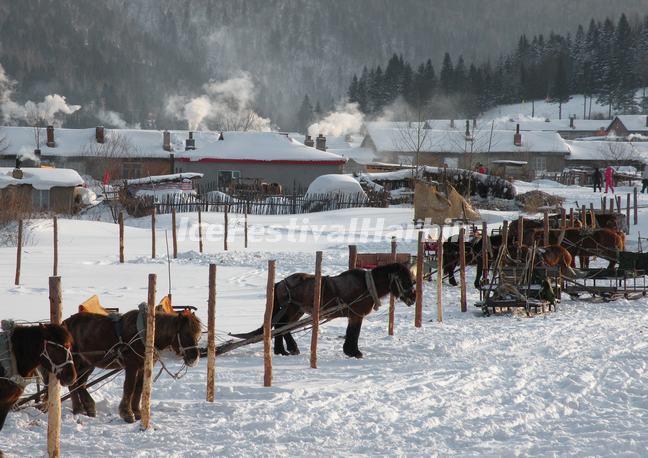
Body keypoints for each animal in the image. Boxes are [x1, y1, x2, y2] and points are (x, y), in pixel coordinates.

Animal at [63, 308, 201, 422]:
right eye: (186, 334)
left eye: (198, 335)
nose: (194, 358)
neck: (145, 334)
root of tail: (65, 322)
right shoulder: (132, 366)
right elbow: (129, 387)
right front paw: (127, 414)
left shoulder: (143, 367)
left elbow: (139, 388)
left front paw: (137, 412)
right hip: (75, 361)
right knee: (74, 384)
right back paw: (78, 409)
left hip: (88, 363)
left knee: (81, 384)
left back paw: (89, 408)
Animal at [232, 264, 416, 358]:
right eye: (405, 280)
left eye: (412, 280)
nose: (413, 298)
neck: (366, 286)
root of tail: (280, 283)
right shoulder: (356, 315)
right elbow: (354, 333)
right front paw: (354, 352)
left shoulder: (353, 316)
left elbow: (351, 333)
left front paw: (350, 351)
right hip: (292, 308)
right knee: (281, 327)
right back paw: (289, 349)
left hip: (296, 311)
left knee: (280, 327)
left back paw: (282, 350)